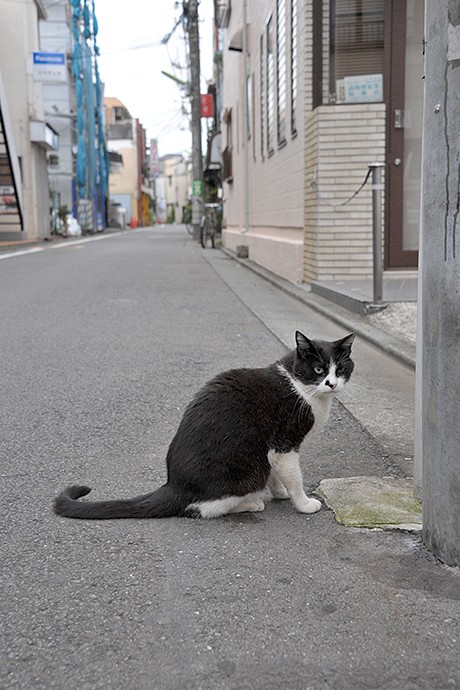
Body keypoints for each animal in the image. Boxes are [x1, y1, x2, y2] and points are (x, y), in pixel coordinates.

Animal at [54, 330, 356, 520]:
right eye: (318, 369)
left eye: (340, 369)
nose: (331, 383)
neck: (301, 387)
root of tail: (173, 485)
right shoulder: (285, 441)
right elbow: (294, 476)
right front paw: (303, 503)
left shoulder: (270, 447)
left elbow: (276, 474)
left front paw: (279, 492)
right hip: (249, 470)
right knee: (202, 509)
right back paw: (251, 503)